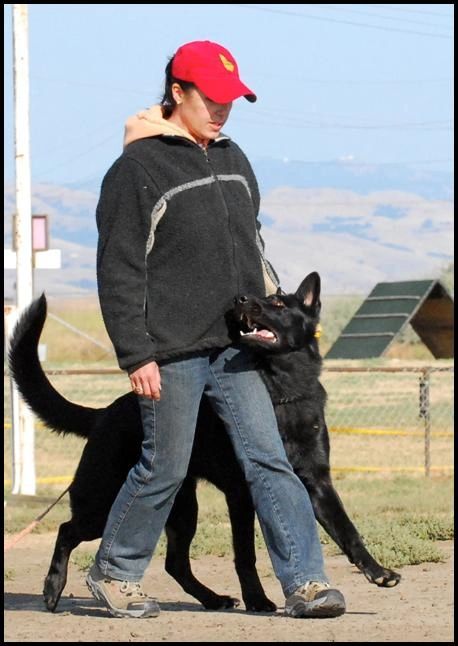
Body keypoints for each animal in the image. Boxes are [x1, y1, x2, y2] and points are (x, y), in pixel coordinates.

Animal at [8, 272, 400, 616]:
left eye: (276, 303)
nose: (239, 299)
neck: (283, 390)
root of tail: (102, 413)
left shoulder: (317, 484)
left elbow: (347, 531)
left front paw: (377, 573)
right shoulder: (241, 494)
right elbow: (246, 555)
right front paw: (258, 600)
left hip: (182, 508)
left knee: (175, 564)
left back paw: (212, 599)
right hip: (104, 503)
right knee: (66, 530)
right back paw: (53, 588)